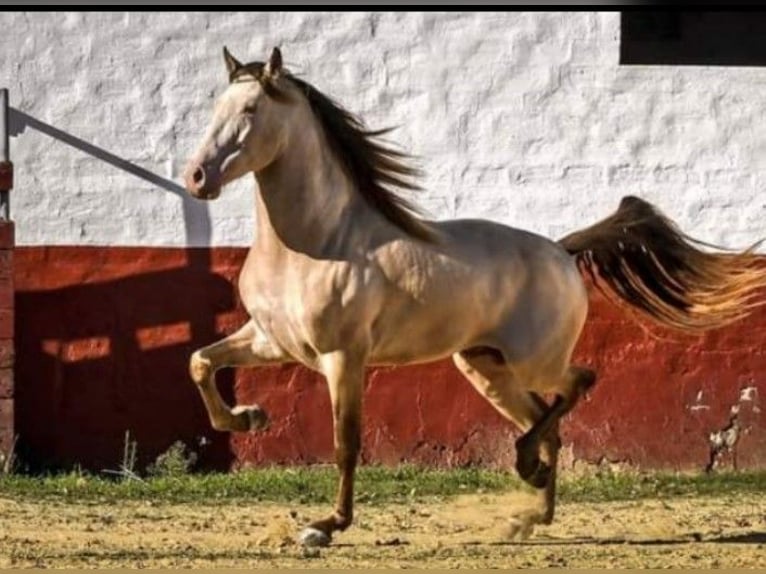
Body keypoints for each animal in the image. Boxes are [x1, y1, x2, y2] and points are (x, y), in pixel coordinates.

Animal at [182, 47, 766, 548]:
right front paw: (249, 417)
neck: (316, 242)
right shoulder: (270, 341)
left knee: (578, 383)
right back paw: (531, 513)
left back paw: (528, 469)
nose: (196, 177)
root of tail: (560, 250)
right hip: (486, 368)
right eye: (214, 108)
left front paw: (326, 526)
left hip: (533, 362)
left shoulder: (343, 358)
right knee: (546, 419)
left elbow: (346, 442)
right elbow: (200, 362)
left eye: (251, 110)